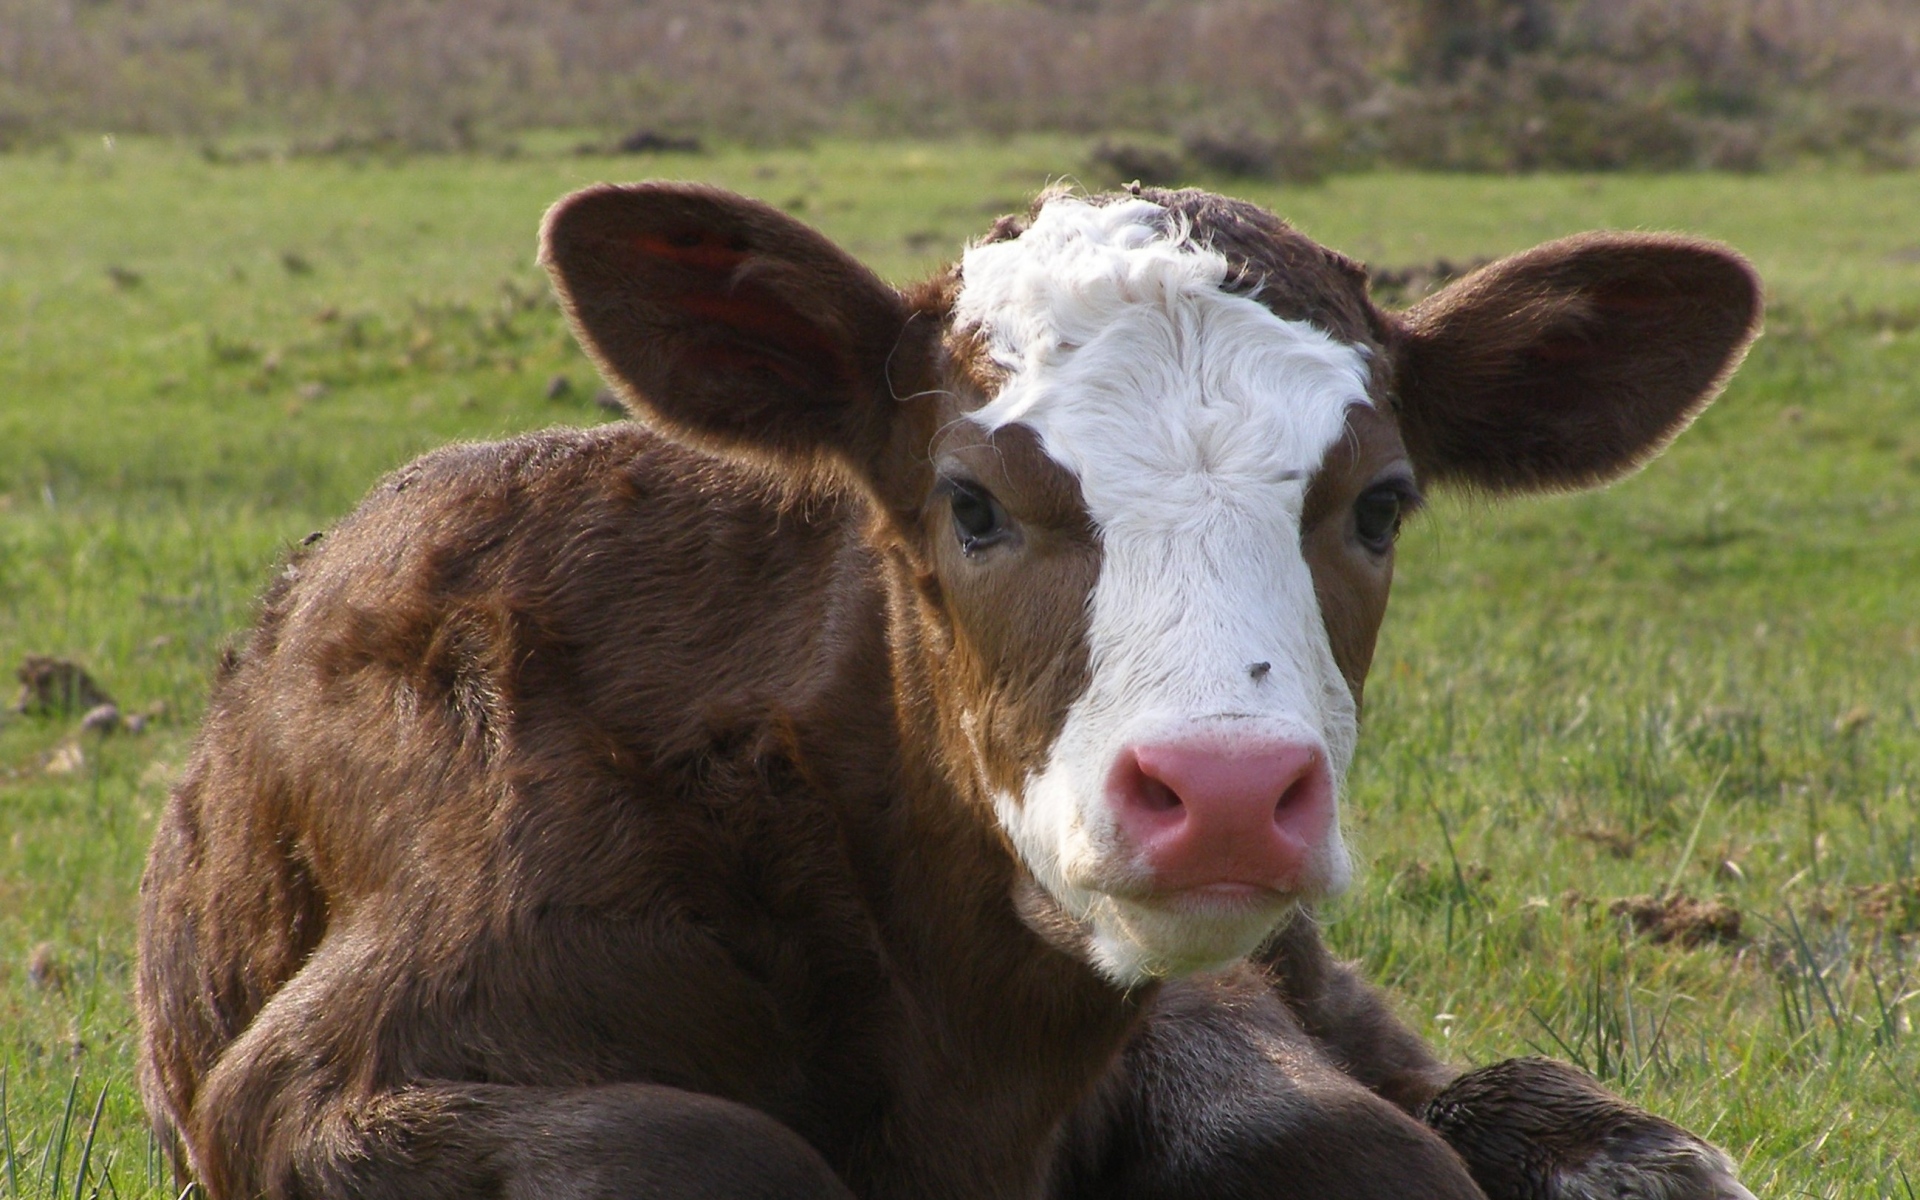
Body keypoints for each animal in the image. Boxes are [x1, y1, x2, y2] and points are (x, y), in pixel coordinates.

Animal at [136, 181, 1762, 1199]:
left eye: (1381, 503)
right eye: (970, 504)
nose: (1229, 795)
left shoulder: (1200, 1000)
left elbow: (1337, 1143)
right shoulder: (326, 1079)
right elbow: (702, 1150)